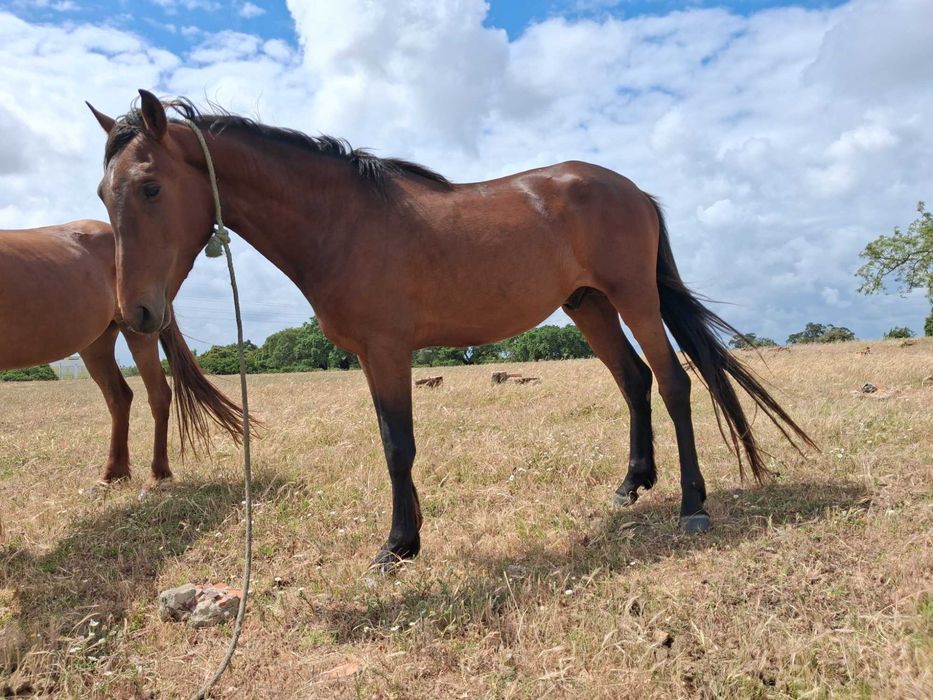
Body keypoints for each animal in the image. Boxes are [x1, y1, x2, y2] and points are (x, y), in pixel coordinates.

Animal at [0, 219, 244, 487]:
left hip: (139, 330)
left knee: (158, 394)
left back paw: (158, 474)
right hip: (97, 343)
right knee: (119, 397)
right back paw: (113, 474)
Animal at [88, 90, 815, 568]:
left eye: (149, 187)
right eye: (102, 193)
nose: (137, 313)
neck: (341, 221)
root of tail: (633, 190)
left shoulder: (386, 352)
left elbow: (397, 447)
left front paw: (396, 546)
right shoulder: (372, 357)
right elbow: (393, 443)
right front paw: (406, 538)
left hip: (634, 297)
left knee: (672, 384)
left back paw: (693, 505)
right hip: (588, 306)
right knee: (634, 382)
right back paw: (630, 485)